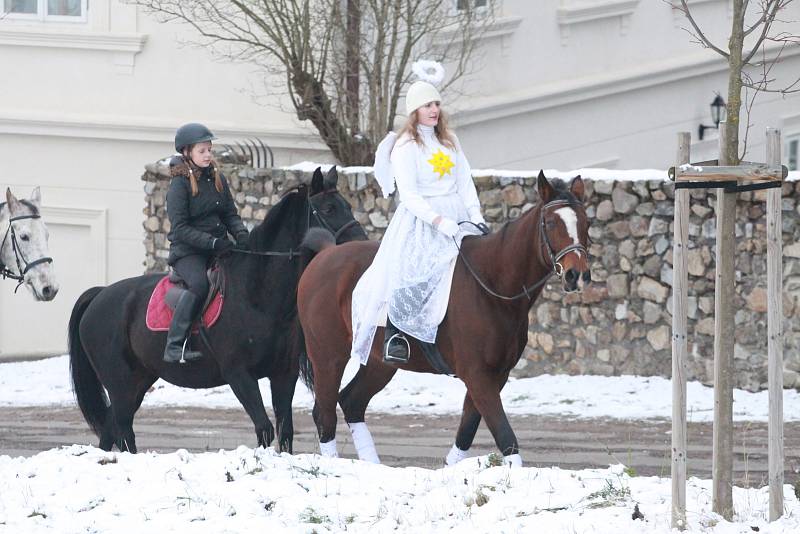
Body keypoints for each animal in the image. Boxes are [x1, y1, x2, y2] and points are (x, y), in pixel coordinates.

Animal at [69, 170, 366, 454]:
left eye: (347, 205)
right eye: (328, 209)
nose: (361, 242)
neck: (256, 294)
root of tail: (99, 295)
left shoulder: (283, 374)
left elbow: (285, 433)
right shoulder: (239, 375)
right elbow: (265, 429)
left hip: (138, 381)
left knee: (110, 430)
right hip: (120, 384)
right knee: (123, 430)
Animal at [296, 172, 592, 464]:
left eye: (586, 222)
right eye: (551, 223)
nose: (576, 275)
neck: (492, 283)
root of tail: (325, 254)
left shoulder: (495, 375)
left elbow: (467, 431)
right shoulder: (478, 375)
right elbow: (506, 438)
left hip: (379, 362)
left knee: (352, 402)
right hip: (328, 356)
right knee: (325, 413)